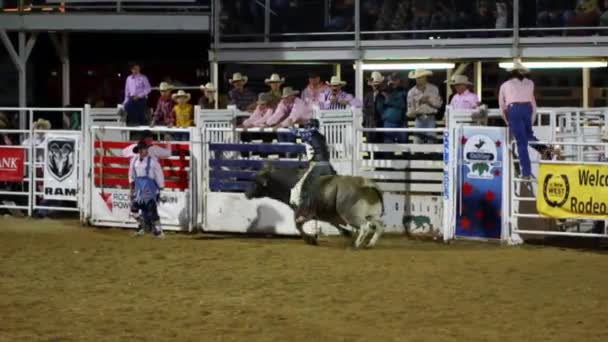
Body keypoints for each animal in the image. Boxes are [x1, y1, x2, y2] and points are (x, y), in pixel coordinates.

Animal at [243, 166, 382, 248]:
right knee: (380, 226)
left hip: (352, 216)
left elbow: (298, 225)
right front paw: (346, 233)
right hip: (372, 215)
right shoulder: (322, 213)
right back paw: (370, 243)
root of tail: (366, 184)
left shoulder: (304, 212)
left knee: (365, 227)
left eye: (256, 182)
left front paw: (310, 240)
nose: (246, 194)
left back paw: (357, 244)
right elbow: (333, 223)